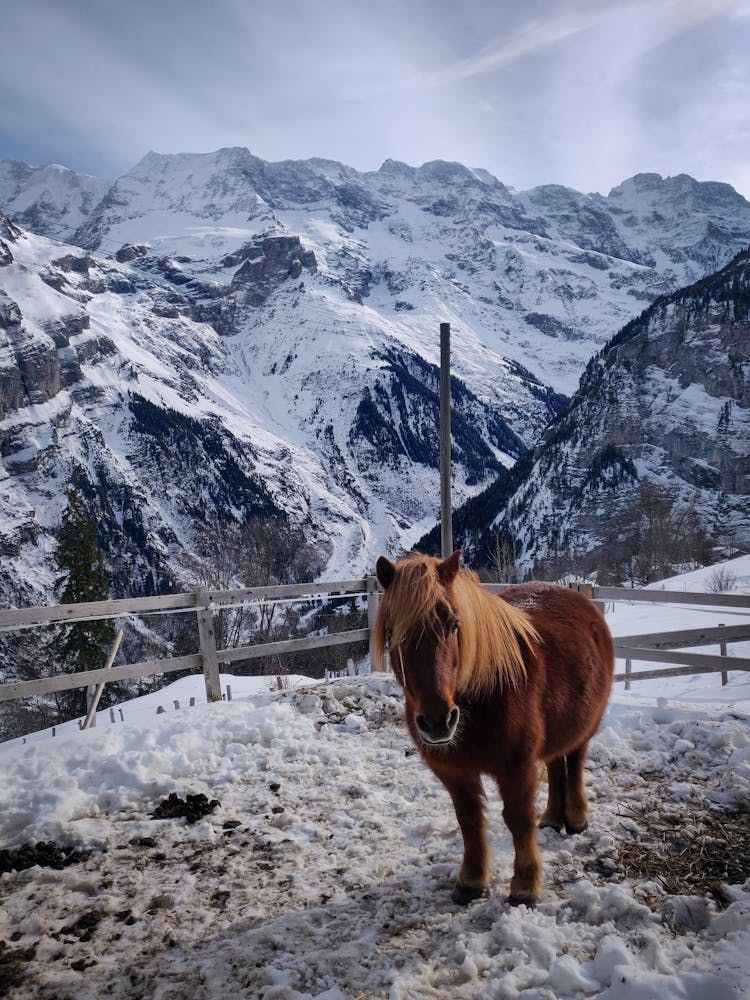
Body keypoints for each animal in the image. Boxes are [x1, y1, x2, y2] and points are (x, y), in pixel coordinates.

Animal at [376, 552, 616, 912]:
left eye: (453, 625)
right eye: (393, 632)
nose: (438, 721)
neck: (485, 693)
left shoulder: (516, 768)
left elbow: (518, 819)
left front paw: (525, 887)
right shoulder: (455, 772)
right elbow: (470, 821)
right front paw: (471, 882)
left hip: (585, 725)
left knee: (574, 763)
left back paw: (575, 819)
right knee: (556, 766)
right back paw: (552, 818)